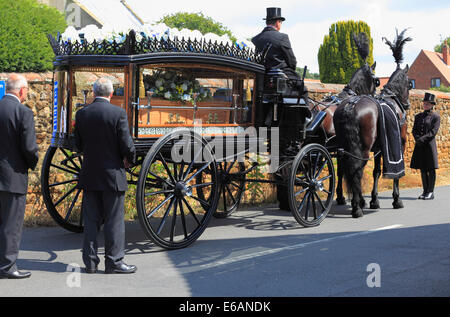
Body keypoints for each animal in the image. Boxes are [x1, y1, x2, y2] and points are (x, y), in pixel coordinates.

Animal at [332, 29, 414, 217]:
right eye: (409, 84)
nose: (407, 104)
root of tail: (350, 106)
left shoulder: (379, 147)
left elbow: (376, 171)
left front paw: (374, 200)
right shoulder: (398, 144)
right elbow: (393, 173)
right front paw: (396, 200)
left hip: (345, 148)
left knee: (346, 170)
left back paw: (354, 201)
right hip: (361, 149)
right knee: (356, 170)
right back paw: (357, 206)